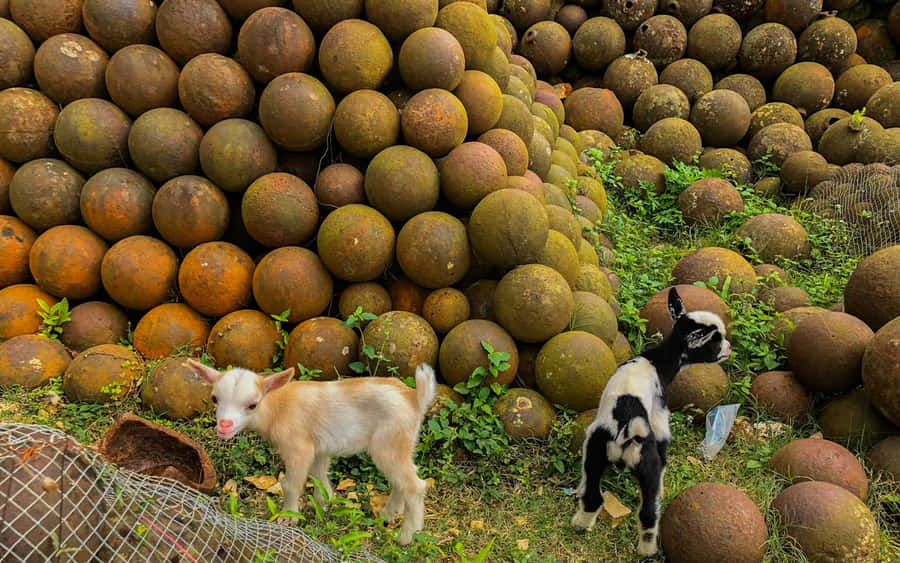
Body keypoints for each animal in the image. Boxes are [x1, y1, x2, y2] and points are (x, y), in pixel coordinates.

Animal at [187, 360, 437, 546]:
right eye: (214, 399)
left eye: (252, 405)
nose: (224, 426)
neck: (278, 407)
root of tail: (414, 398)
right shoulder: (319, 449)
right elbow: (319, 478)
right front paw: (323, 505)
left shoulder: (299, 448)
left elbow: (290, 484)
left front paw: (288, 518)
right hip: (401, 446)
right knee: (401, 481)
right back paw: (387, 516)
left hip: (390, 443)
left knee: (415, 485)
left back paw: (406, 537)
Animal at [571, 287, 732, 558]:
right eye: (716, 341)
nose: (729, 348)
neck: (656, 361)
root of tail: (625, 430)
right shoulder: (660, 418)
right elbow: (665, 450)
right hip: (647, 465)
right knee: (647, 514)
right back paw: (648, 550)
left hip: (595, 451)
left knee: (593, 497)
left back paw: (580, 525)